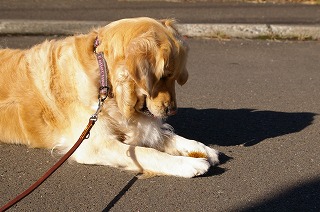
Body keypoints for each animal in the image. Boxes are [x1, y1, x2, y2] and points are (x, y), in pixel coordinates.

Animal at [0, 17, 219, 178]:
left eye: (173, 77)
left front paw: (202, 148)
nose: (172, 110)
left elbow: (166, 136)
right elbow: (146, 151)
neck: (105, 79)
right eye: (165, 75)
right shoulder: (94, 144)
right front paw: (189, 163)